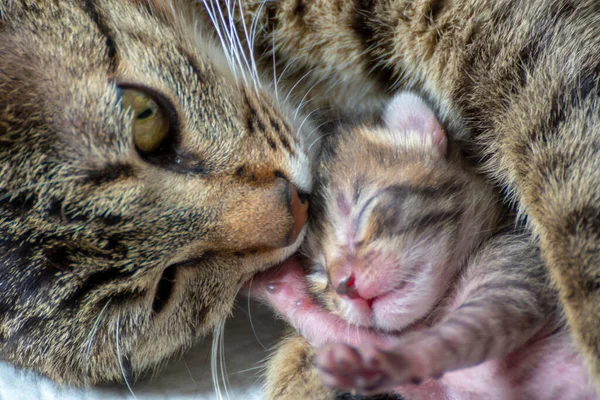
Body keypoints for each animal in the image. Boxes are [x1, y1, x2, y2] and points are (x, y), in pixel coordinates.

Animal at [250, 92, 596, 398]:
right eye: (318, 271)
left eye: (364, 210)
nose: (346, 285)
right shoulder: (441, 387)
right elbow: (339, 331)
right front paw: (278, 282)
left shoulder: (519, 270)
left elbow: (453, 336)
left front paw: (393, 361)